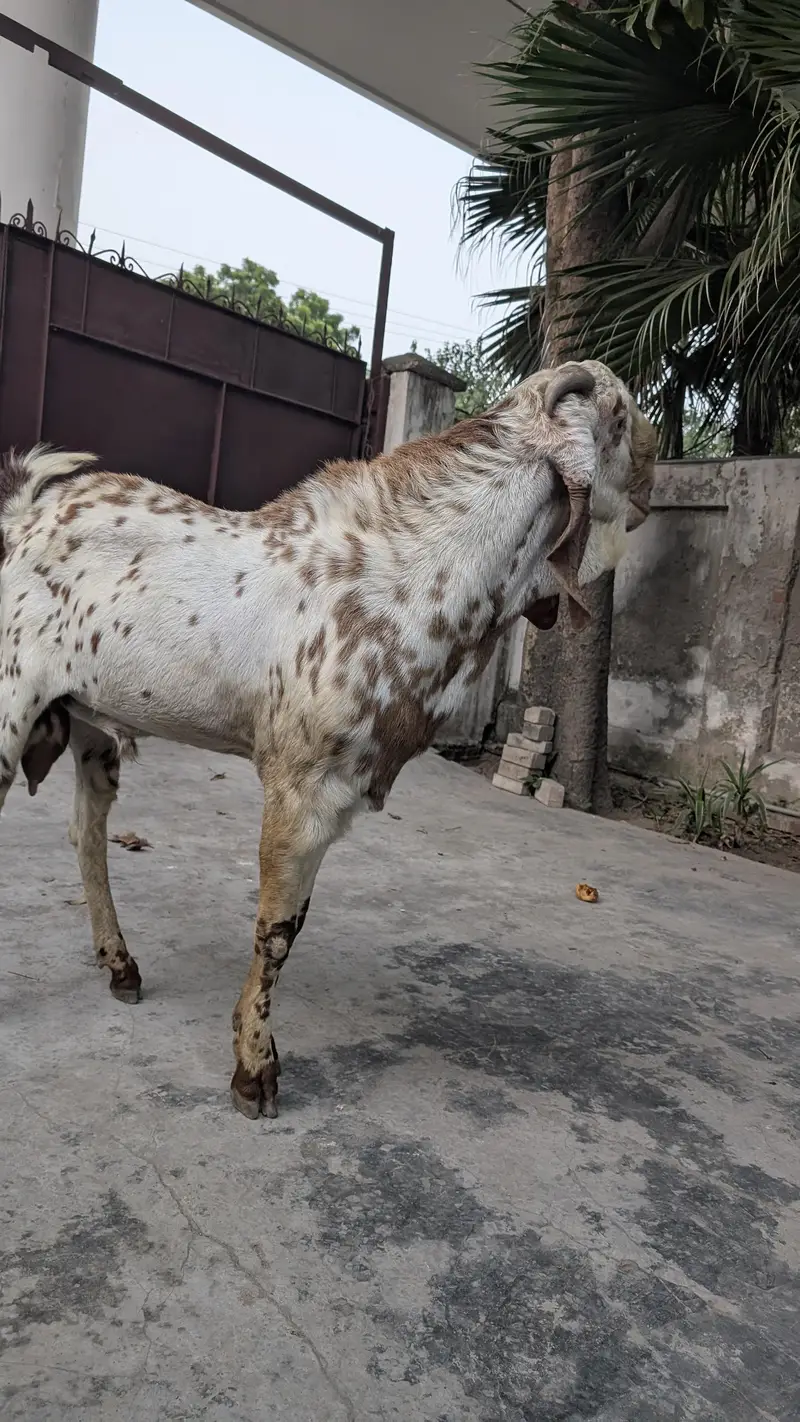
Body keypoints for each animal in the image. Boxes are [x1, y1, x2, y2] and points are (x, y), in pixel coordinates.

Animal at [0, 359, 656, 1118]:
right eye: (618, 415)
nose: (655, 473)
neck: (407, 577)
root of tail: (25, 516)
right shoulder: (300, 786)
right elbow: (277, 931)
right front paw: (254, 1072)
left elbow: (294, 921)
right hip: (10, 700)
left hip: (88, 726)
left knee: (88, 833)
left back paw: (121, 965)